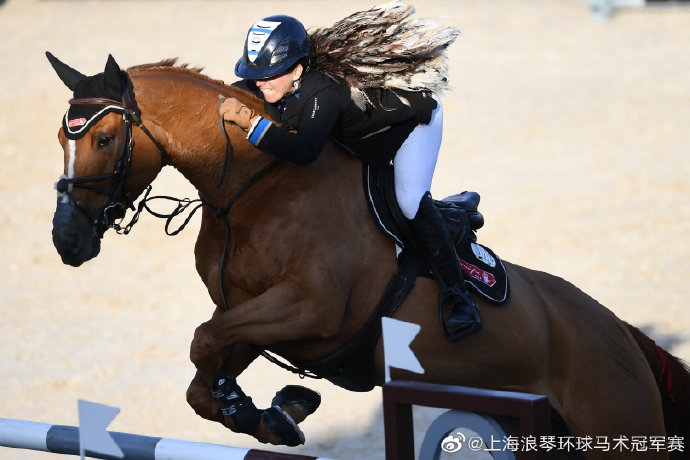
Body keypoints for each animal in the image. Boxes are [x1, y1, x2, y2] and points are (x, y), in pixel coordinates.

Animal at [45, 53, 684, 456]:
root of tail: (623, 334)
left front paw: (269, 409)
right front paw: (271, 412)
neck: (252, 188)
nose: (66, 242)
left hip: (616, 427)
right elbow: (204, 368)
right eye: (59, 139)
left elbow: (205, 340)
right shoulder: (252, 315)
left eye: (104, 139)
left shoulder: (315, 309)